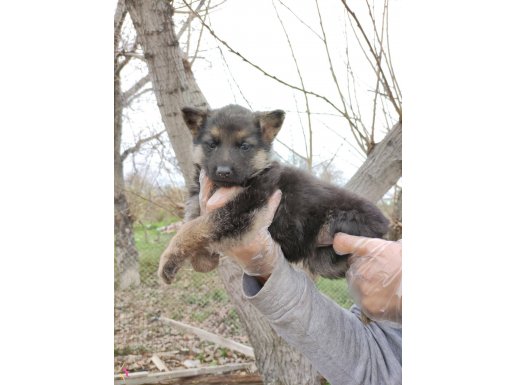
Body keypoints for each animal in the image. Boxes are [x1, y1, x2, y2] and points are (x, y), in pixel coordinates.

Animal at [159, 103, 390, 284]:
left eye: (244, 146)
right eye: (212, 144)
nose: (223, 172)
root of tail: (386, 224)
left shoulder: (241, 210)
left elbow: (192, 228)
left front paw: (168, 260)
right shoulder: (200, 205)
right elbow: (194, 227)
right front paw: (204, 259)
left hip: (340, 226)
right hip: (323, 260)